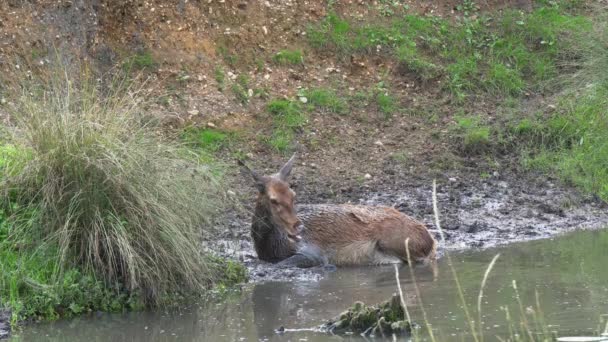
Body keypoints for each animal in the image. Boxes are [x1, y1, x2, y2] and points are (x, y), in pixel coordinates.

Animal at [239, 154, 436, 268]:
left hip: (396, 240)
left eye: (293, 194)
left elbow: (282, 264)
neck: (268, 246)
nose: (298, 227)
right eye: (273, 200)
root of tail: (430, 240)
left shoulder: (313, 253)